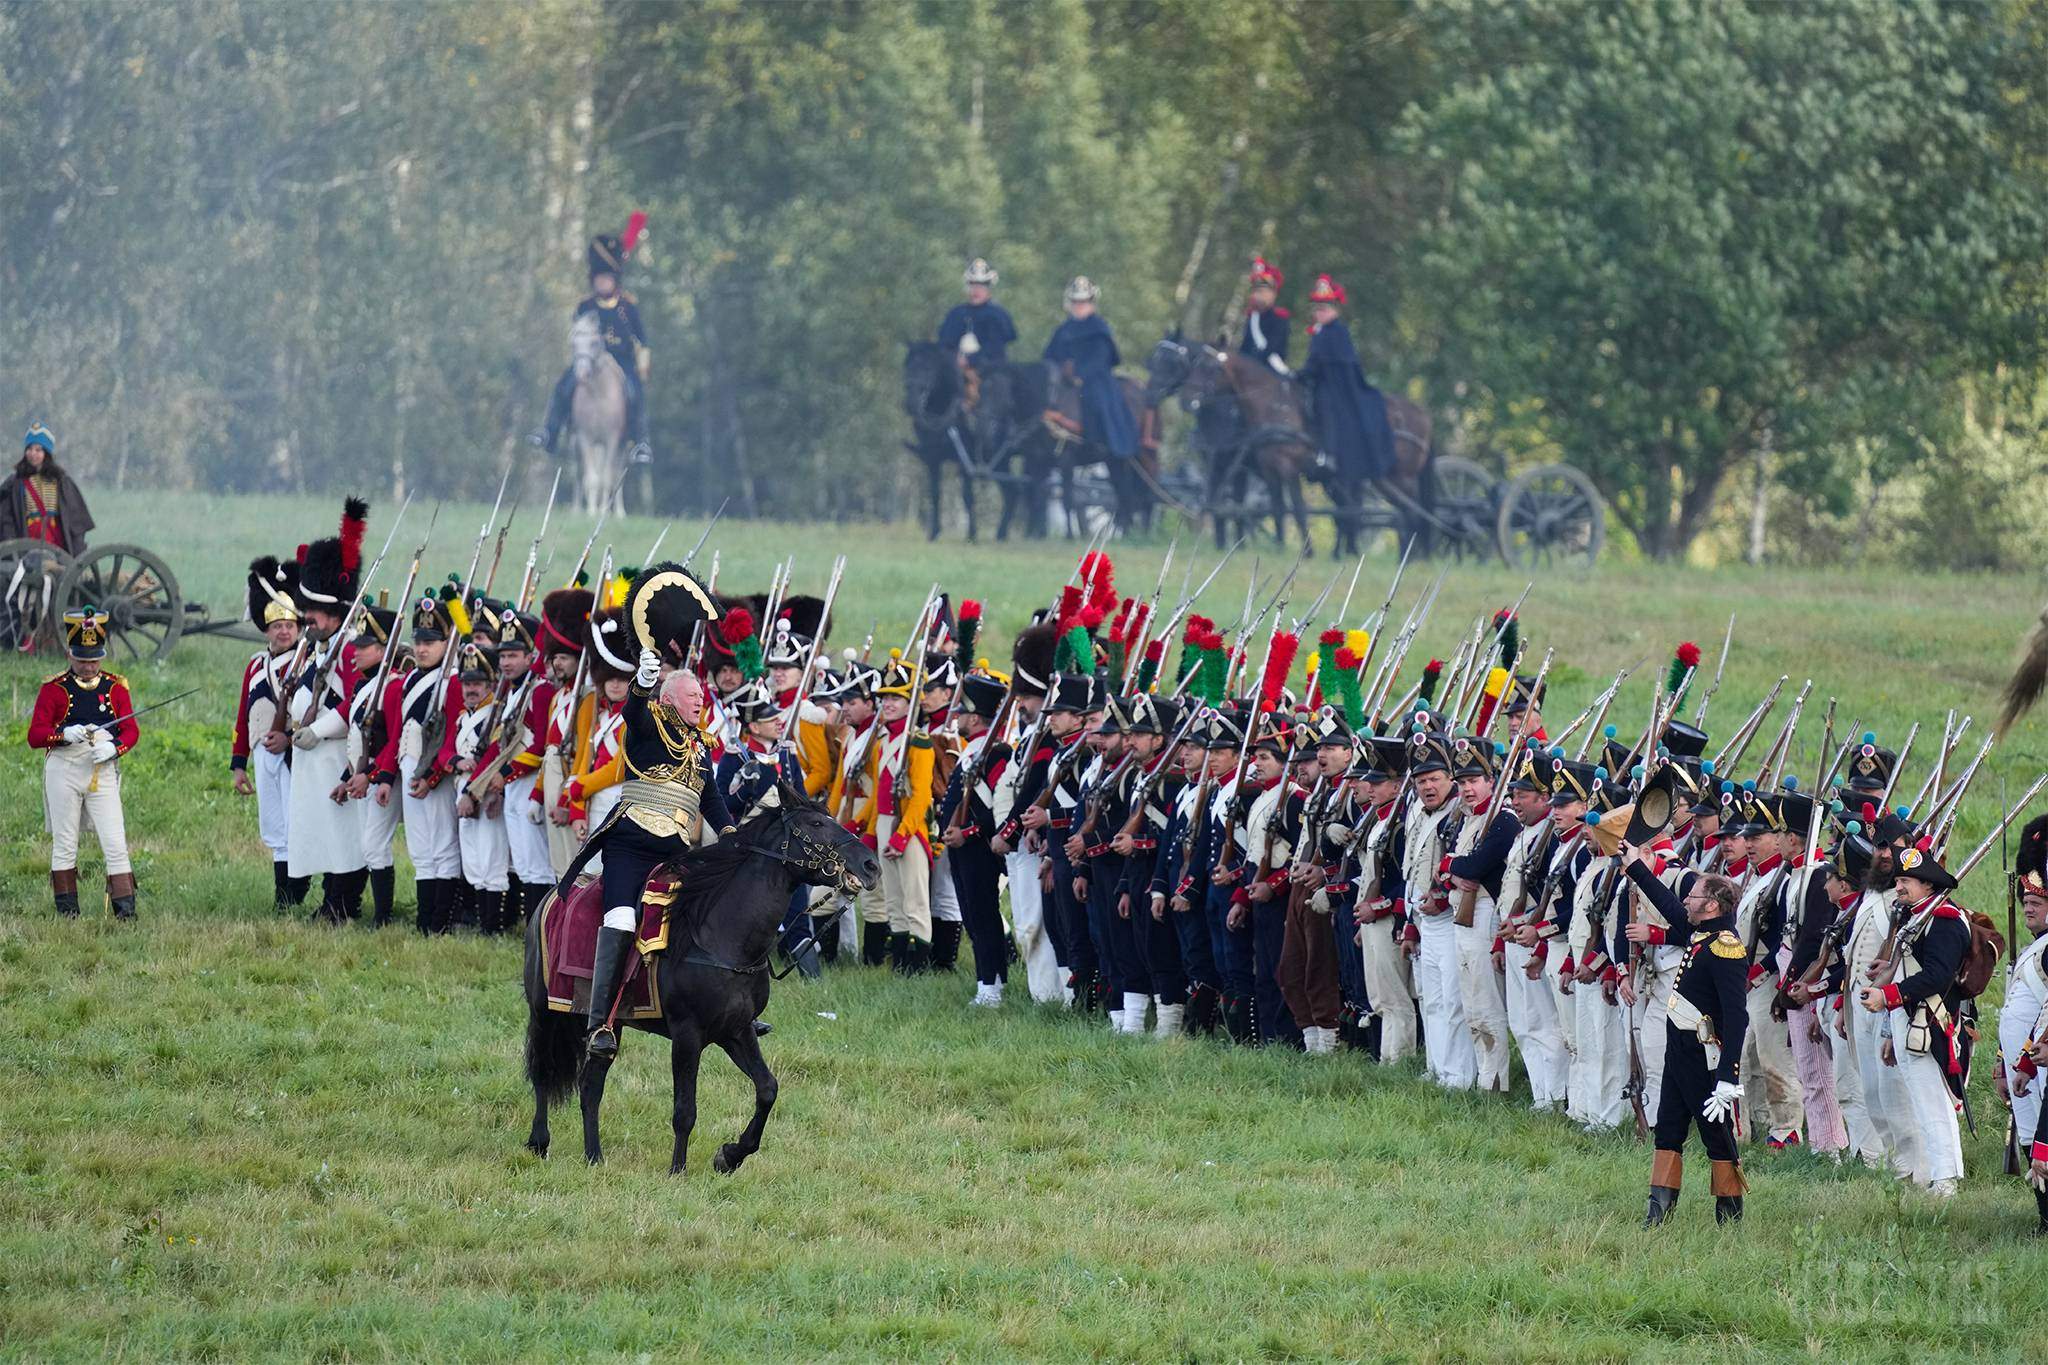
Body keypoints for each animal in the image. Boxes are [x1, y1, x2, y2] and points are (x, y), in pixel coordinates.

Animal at [520, 785, 880, 1170]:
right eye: (815, 824)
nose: (871, 865)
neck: (722, 937)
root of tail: (551, 894)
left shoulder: (736, 1030)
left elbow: (768, 1089)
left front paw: (731, 1155)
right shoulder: (687, 1035)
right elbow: (685, 1110)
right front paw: (678, 1170)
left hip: (610, 1024)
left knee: (591, 1085)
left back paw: (594, 1157)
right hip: (544, 1010)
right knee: (543, 1070)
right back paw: (540, 1141)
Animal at [569, 311, 622, 517]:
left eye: (593, 342)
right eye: (573, 343)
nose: (582, 374)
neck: (598, 395)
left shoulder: (612, 439)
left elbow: (607, 477)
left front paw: (603, 511)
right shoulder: (585, 438)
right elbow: (590, 477)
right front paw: (591, 512)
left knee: (617, 474)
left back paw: (619, 512)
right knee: (579, 472)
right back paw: (577, 509)